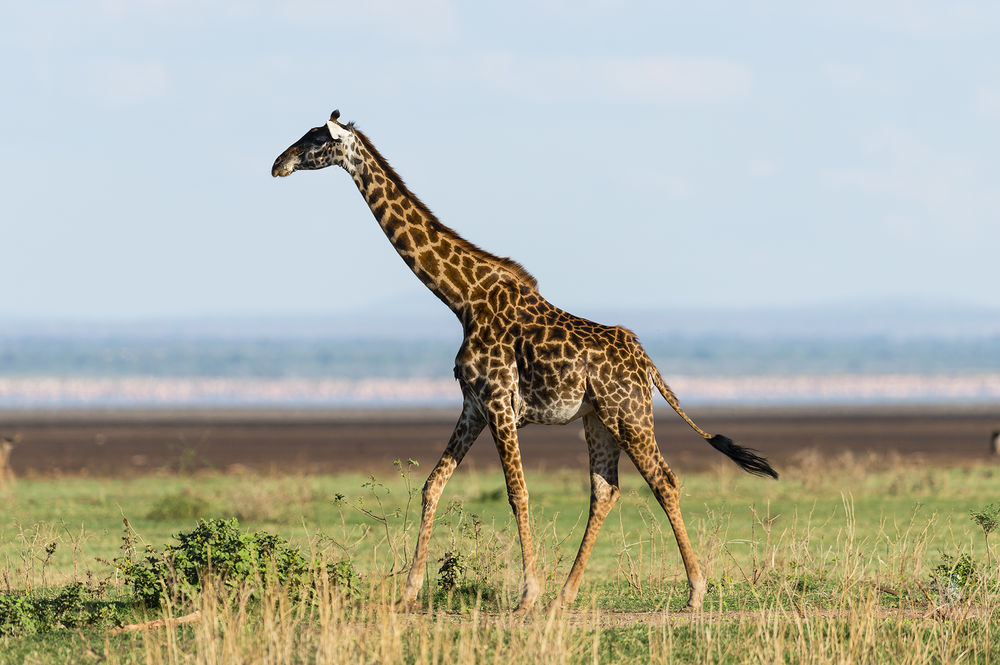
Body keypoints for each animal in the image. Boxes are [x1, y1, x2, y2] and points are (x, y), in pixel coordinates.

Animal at [272, 110, 778, 613]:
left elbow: (517, 492)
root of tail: (646, 362)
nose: (278, 164)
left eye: (315, 139)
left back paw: (694, 590)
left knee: (664, 480)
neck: (463, 299)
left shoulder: (499, 403)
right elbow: (433, 484)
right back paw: (566, 595)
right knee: (605, 489)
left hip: (629, 413)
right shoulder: (473, 406)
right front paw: (410, 593)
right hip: (598, 419)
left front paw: (527, 594)